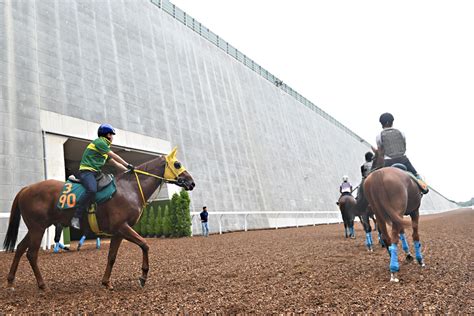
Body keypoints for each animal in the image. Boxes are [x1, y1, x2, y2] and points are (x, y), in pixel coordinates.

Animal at [3, 147, 194, 290]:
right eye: (177, 164)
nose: (191, 182)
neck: (129, 188)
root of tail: (26, 188)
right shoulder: (123, 227)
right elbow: (145, 245)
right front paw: (143, 276)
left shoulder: (118, 232)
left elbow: (112, 257)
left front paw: (106, 282)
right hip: (38, 228)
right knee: (31, 254)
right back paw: (42, 285)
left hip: (35, 228)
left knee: (20, 248)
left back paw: (11, 281)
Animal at [362, 146, 426, 282]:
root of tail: (379, 174)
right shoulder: (414, 211)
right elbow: (415, 235)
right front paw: (420, 260)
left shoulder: (395, 215)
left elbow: (402, 233)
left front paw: (408, 255)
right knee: (394, 237)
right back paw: (394, 270)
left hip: (379, 213)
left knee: (388, 238)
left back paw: (393, 259)